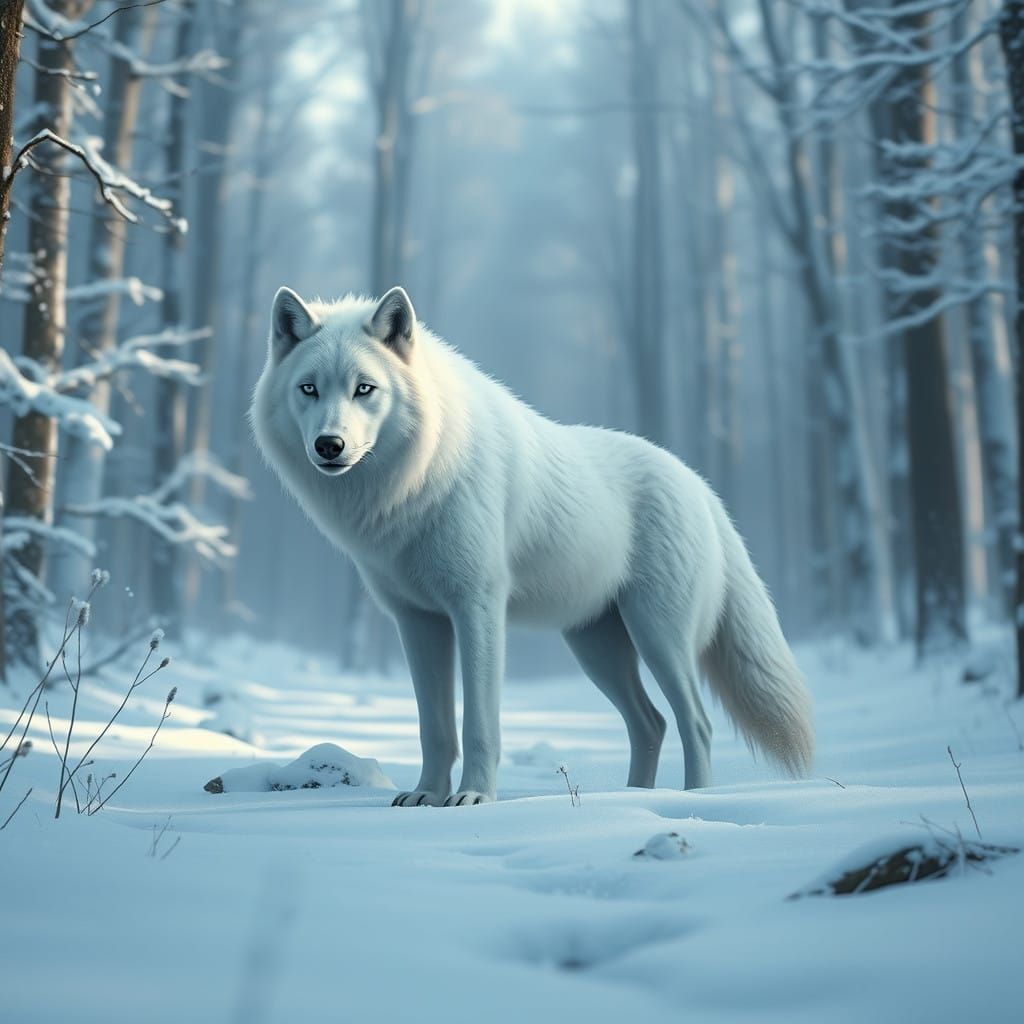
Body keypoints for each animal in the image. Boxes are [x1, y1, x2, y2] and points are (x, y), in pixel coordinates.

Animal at [251, 285, 813, 806]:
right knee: (651, 722)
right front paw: (427, 796)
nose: (329, 445)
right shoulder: (418, 622)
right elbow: (434, 728)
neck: (417, 482)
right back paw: (635, 797)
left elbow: (479, 724)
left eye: (364, 389)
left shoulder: (478, 608)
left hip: (658, 637)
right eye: (309, 389)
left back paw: (690, 800)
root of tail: (701, 486)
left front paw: (474, 798)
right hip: (596, 648)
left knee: (695, 722)